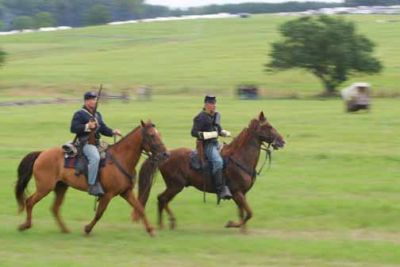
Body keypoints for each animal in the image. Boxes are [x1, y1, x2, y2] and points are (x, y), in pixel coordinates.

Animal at [14, 121, 168, 237]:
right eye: (151, 135)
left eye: (159, 134)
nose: (165, 154)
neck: (121, 159)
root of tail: (41, 154)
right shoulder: (107, 195)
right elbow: (99, 213)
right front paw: (87, 229)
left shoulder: (126, 192)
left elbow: (140, 208)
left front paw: (151, 230)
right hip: (44, 188)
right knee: (29, 201)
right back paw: (25, 225)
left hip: (61, 187)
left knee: (55, 208)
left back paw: (65, 230)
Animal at [134, 112, 284, 231]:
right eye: (268, 127)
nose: (282, 141)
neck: (240, 158)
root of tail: (165, 155)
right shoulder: (237, 193)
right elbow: (249, 213)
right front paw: (231, 224)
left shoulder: (242, 194)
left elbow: (243, 213)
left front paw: (243, 231)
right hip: (175, 185)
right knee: (162, 199)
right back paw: (163, 224)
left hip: (175, 186)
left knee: (163, 200)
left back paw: (169, 223)